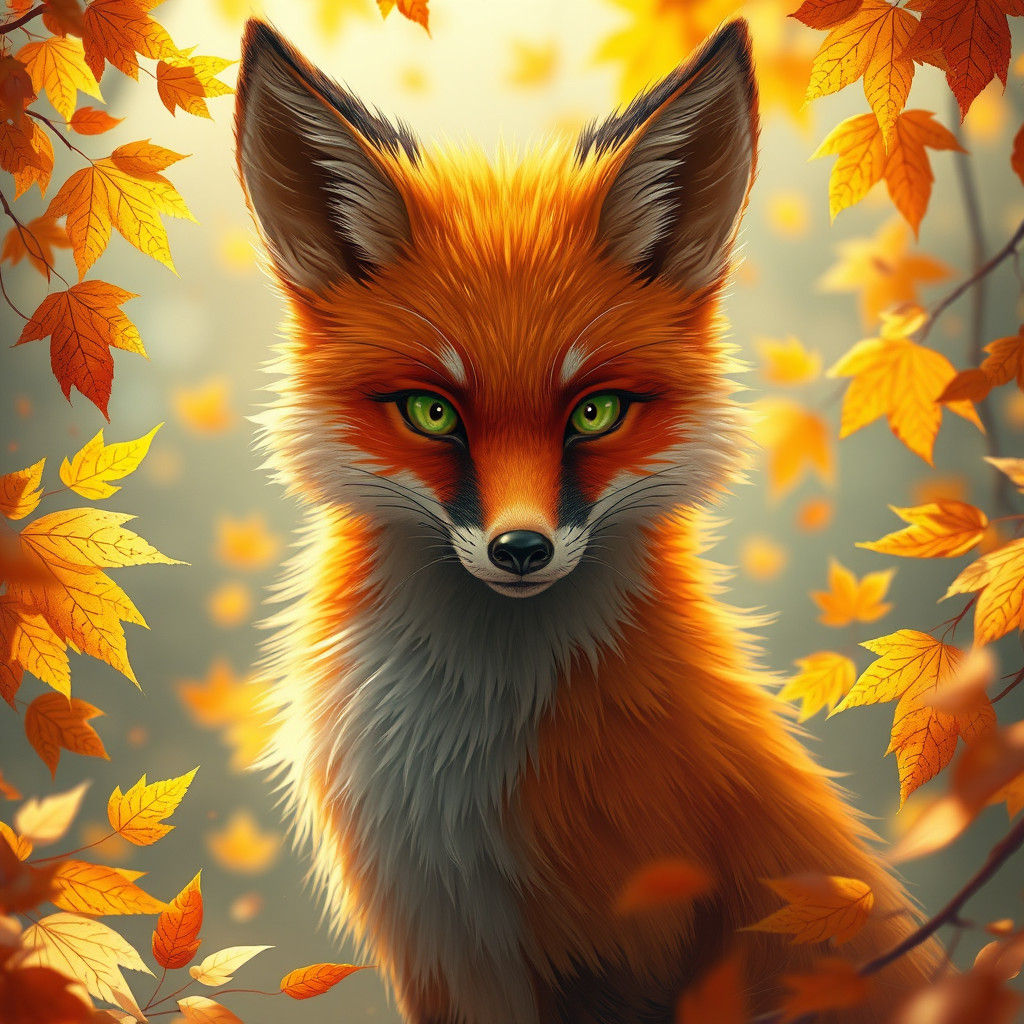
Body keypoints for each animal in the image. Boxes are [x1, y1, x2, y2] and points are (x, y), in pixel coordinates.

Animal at [234, 17, 939, 1024]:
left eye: (595, 413)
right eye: (433, 413)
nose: (521, 549)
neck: (467, 768)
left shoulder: (633, 947)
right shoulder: (440, 957)